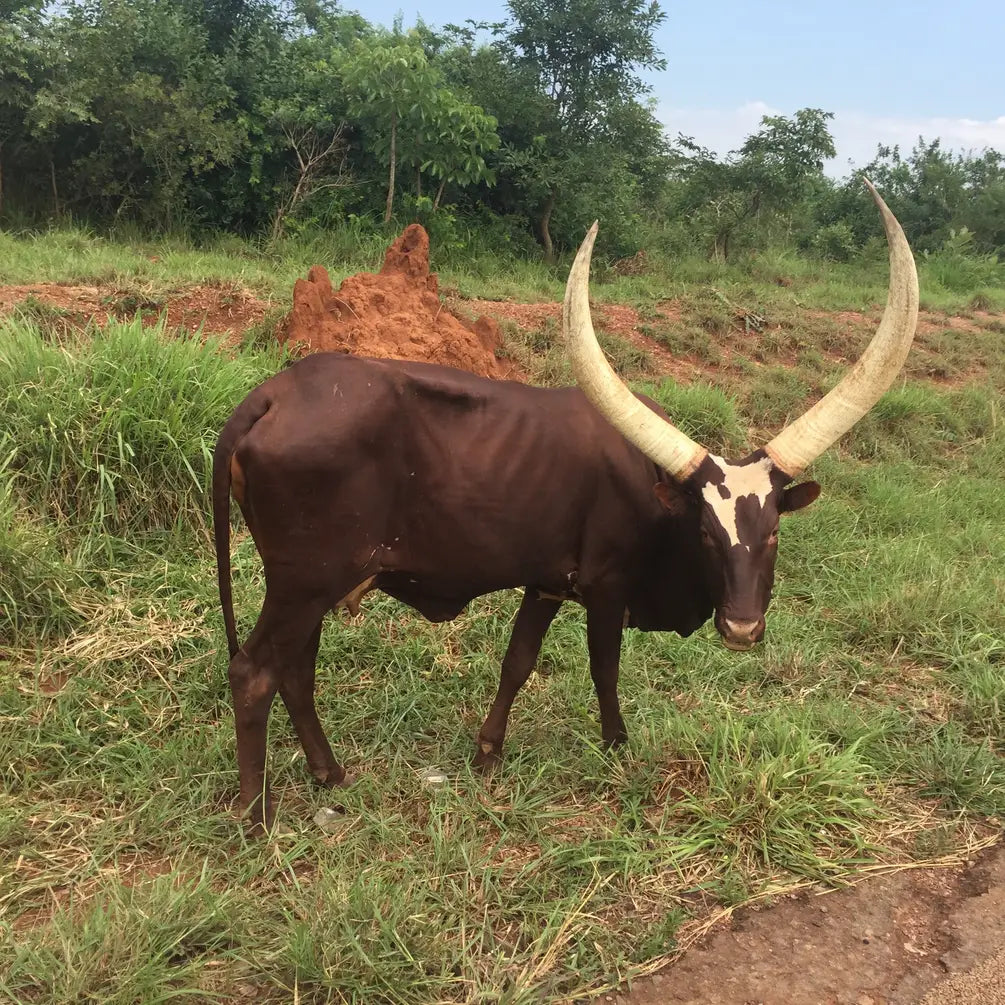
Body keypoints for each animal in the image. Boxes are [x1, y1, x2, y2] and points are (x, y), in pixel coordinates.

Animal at [212, 182, 920, 832]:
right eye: (707, 533)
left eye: (772, 532)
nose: (742, 629)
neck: (650, 492)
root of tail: (272, 394)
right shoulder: (606, 588)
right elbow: (604, 668)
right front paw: (616, 745)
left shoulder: (547, 582)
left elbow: (517, 662)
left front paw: (488, 752)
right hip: (305, 582)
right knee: (254, 672)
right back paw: (254, 813)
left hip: (312, 586)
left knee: (294, 671)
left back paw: (328, 772)